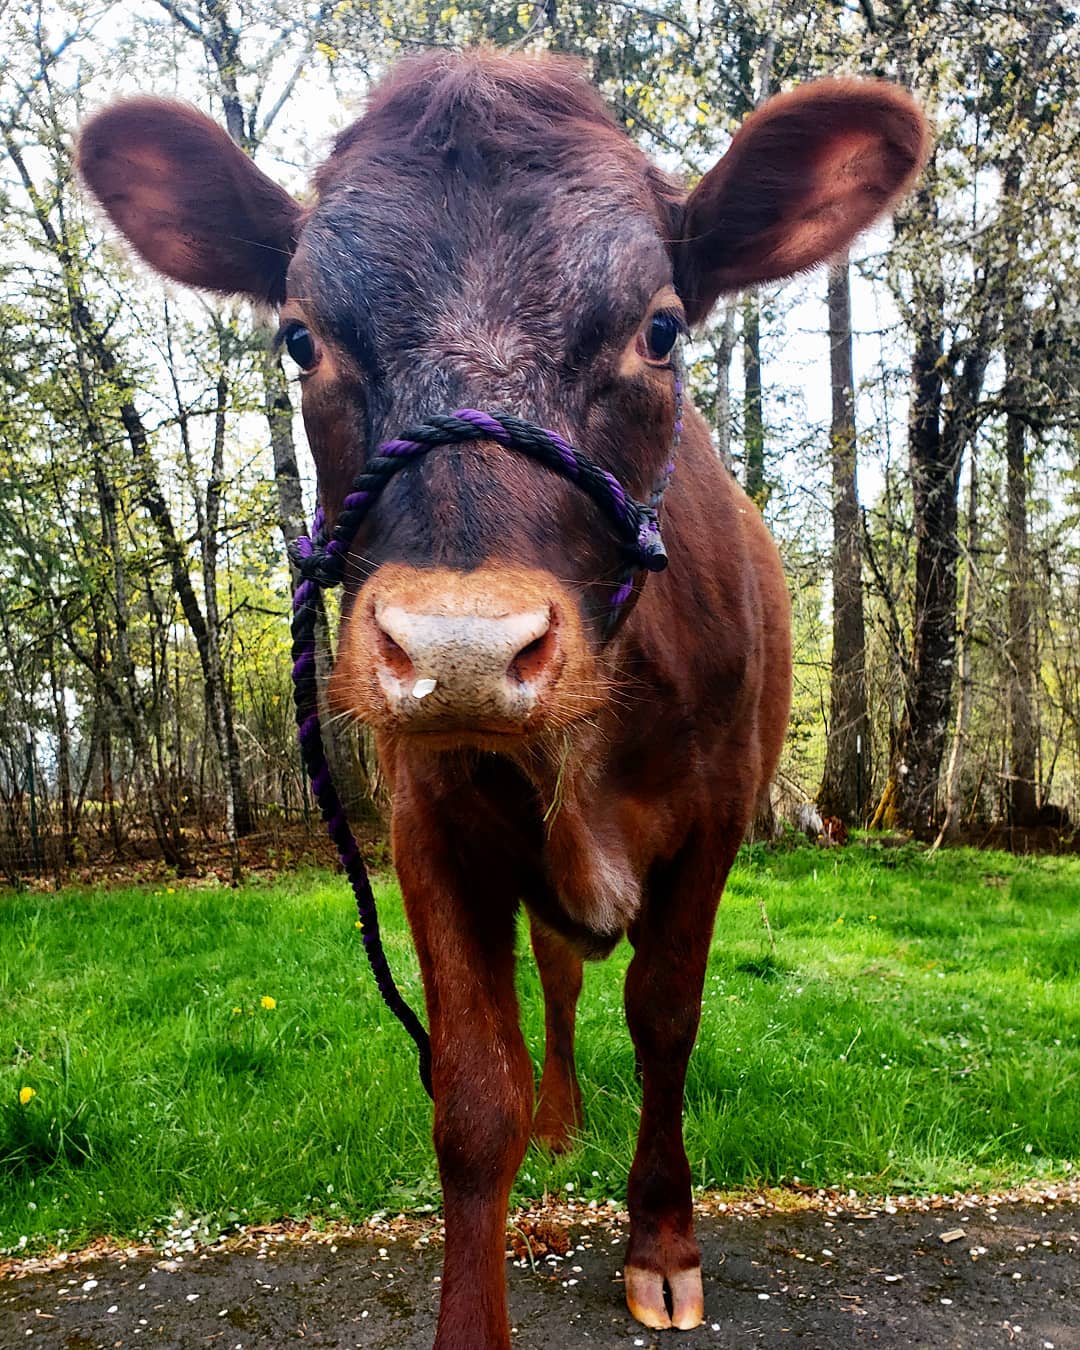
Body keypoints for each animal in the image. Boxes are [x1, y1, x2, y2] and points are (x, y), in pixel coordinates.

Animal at [79, 50, 927, 1349]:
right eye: (299, 340)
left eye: (661, 329)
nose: (463, 649)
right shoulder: (430, 821)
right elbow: (476, 1094)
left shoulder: (716, 823)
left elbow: (665, 1019)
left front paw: (663, 1241)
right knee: (561, 980)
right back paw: (562, 1117)